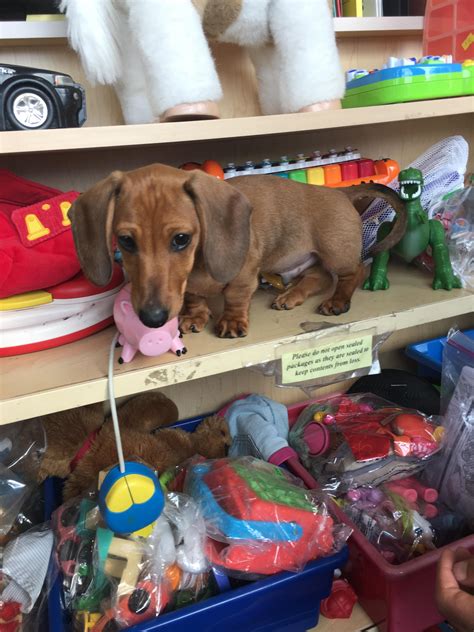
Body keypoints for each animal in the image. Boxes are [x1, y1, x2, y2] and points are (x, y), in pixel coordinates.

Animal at [68, 165, 406, 338]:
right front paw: (194, 316)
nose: (152, 319)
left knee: (353, 272)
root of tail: (341, 193)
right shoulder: (189, 287)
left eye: (181, 239)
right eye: (125, 241)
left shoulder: (244, 274)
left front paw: (231, 322)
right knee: (318, 277)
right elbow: (194, 297)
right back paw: (290, 295)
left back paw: (338, 301)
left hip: (337, 252)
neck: (198, 265)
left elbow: (234, 296)